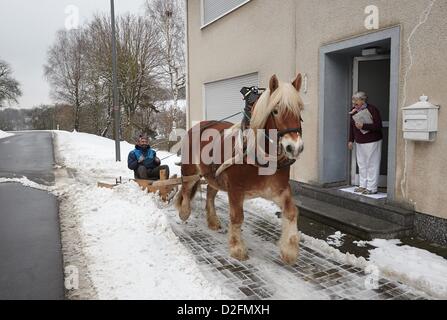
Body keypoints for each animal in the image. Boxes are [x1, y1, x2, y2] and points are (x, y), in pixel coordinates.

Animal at [175, 73, 304, 264]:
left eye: (299, 110)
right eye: (275, 111)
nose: (295, 147)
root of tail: (196, 126)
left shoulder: (279, 189)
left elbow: (291, 212)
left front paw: (289, 250)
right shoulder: (235, 189)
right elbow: (237, 217)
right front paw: (237, 249)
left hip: (215, 176)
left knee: (210, 195)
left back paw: (212, 221)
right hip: (190, 171)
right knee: (185, 189)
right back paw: (184, 212)